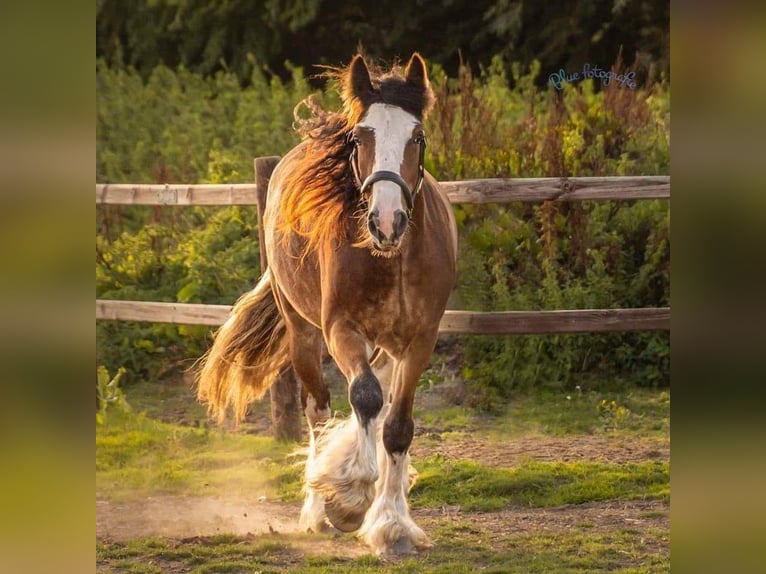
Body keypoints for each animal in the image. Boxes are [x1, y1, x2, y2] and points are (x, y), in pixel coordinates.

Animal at [198, 54, 460, 560]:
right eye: (360, 138)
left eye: (417, 136)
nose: (386, 222)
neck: (392, 259)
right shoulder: (342, 330)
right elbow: (365, 397)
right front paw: (350, 502)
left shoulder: (420, 340)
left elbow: (397, 425)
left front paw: (393, 527)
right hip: (303, 333)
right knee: (316, 409)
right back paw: (318, 512)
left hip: (385, 346)